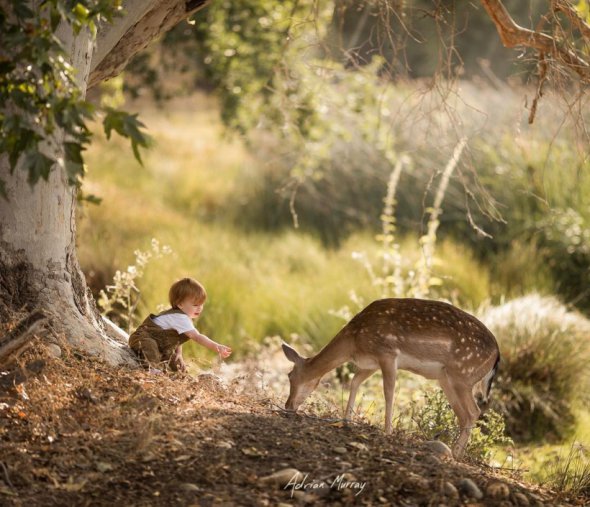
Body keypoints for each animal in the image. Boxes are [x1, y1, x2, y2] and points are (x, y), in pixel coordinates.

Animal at [284, 298, 502, 460]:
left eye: (290, 376)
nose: (287, 406)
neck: (353, 342)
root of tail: (497, 355)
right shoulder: (370, 364)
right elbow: (355, 382)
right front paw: (346, 420)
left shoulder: (387, 353)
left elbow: (388, 392)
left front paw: (386, 431)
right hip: (446, 379)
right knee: (464, 414)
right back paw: (453, 451)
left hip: (462, 375)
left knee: (473, 411)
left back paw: (456, 454)